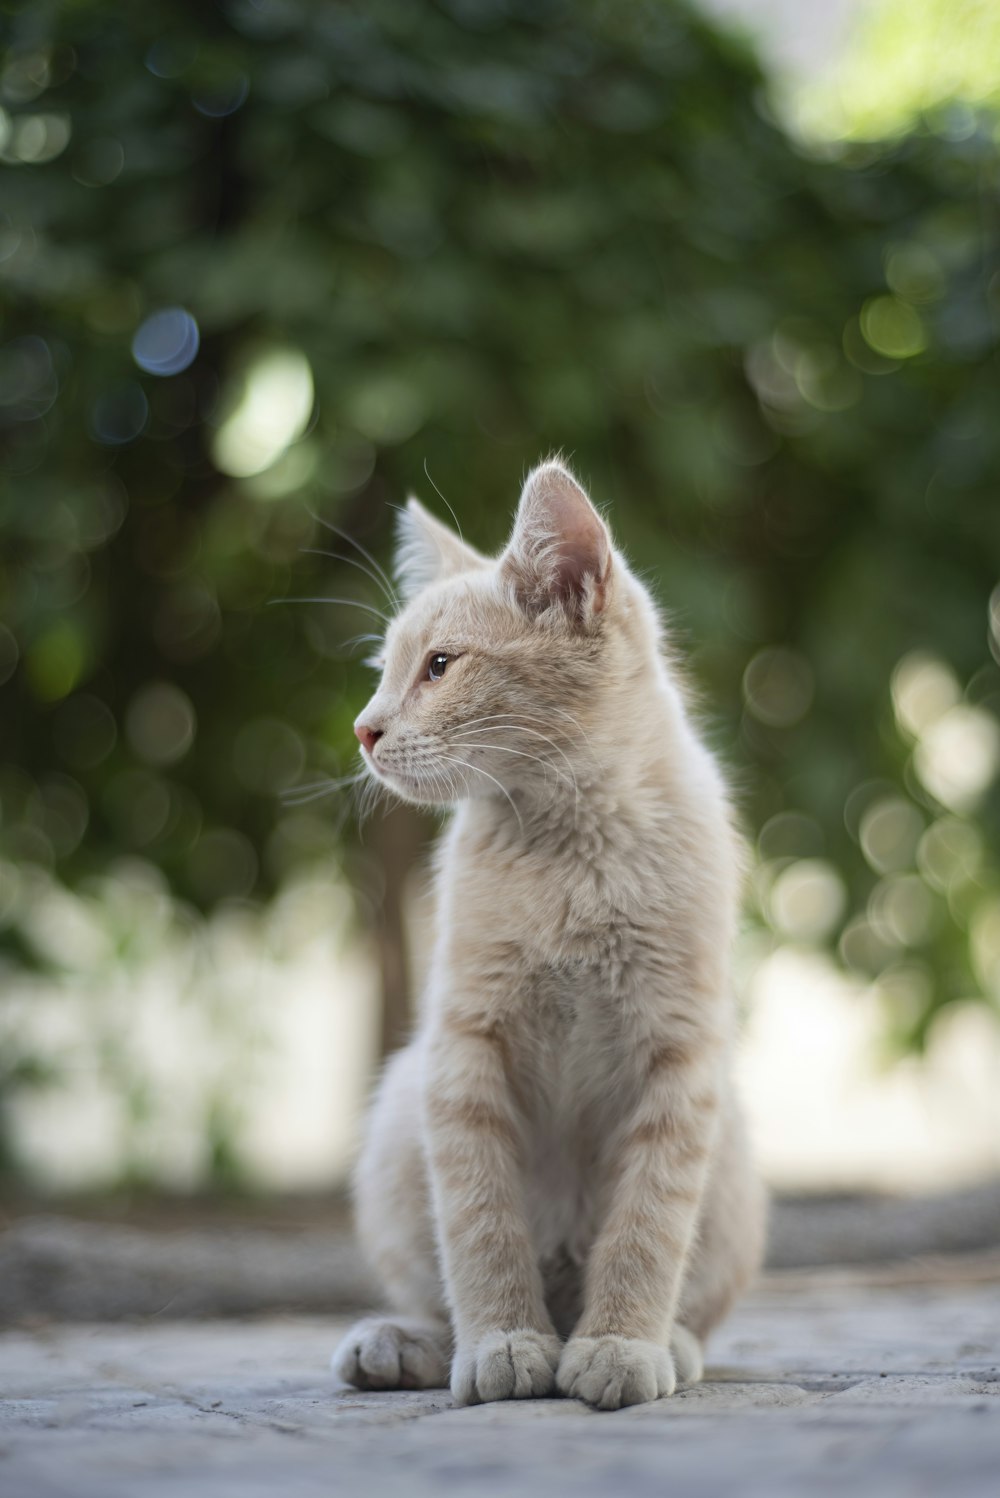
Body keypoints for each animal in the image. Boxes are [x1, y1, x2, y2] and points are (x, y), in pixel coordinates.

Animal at [332, 461, 760, 1408]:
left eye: (440, 665)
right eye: (384, 672)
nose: (365, 728)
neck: (573, 849)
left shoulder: (682, 1057)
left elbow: (648, 1222)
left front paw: (621, 1343)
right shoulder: (460, 1048)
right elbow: (478, 1220)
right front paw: (502, 1338)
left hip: (734, 1140)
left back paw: (668, 1341)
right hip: (398, 1114)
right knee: (430, 1279)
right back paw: (405, 1341)